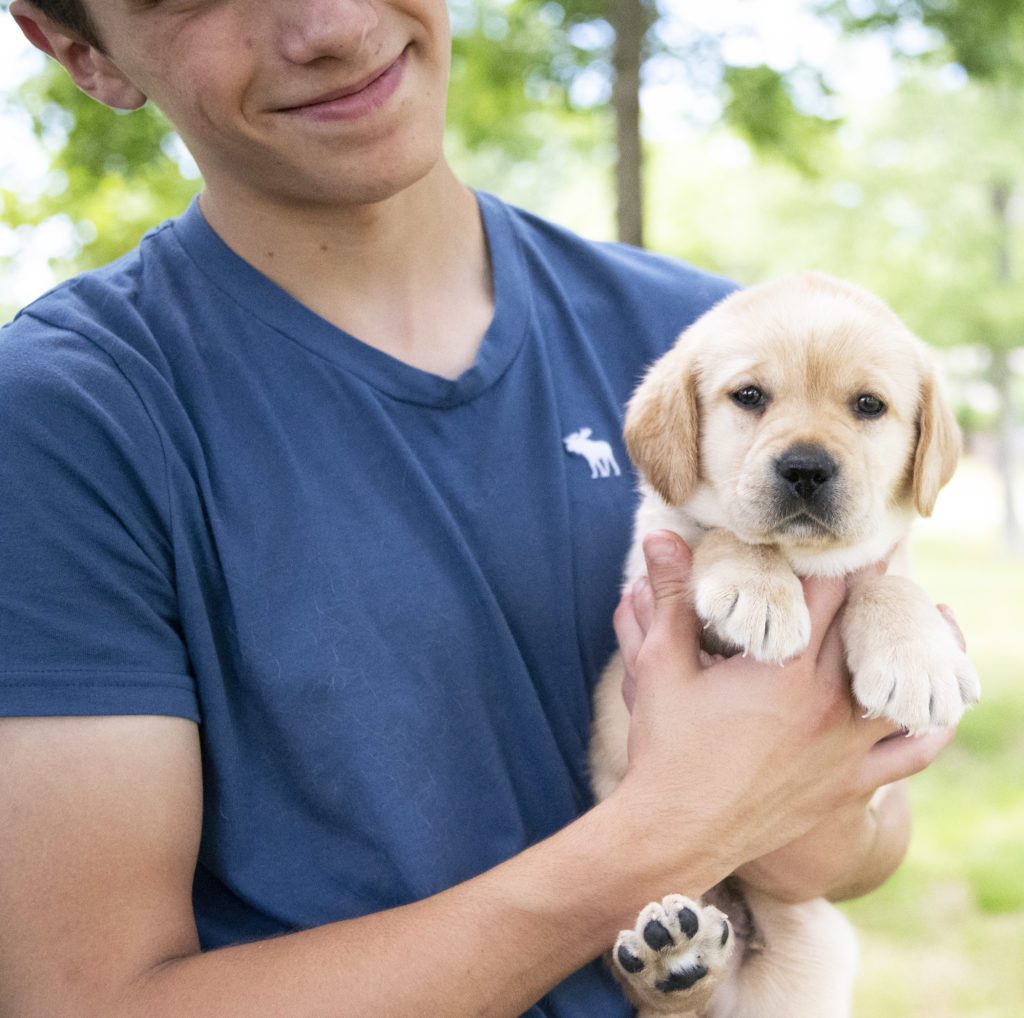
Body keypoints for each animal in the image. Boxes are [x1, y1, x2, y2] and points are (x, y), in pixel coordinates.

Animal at [589, 270, 978, 1015]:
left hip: (813, 946)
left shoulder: (885, 560)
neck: (803, 562)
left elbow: (888, 582)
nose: (805, 468)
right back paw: (669, 958)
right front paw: (756, 590)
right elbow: (722, 532)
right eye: (749, 397)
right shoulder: (657, 558)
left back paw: (685, 959)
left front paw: (917, 658)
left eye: (868, 406)